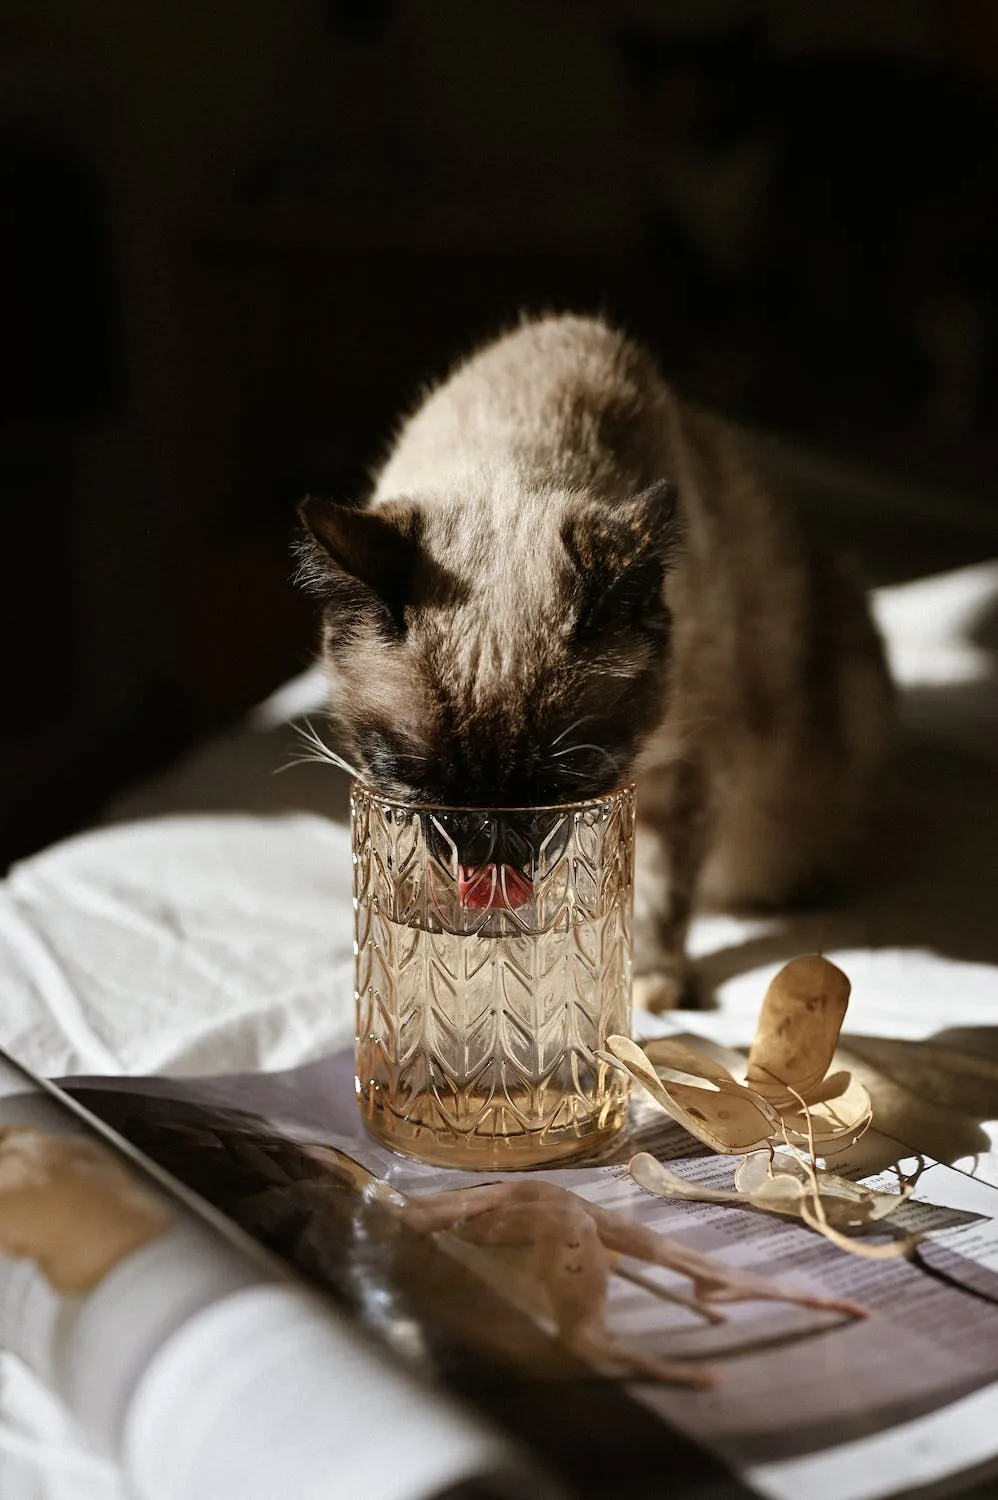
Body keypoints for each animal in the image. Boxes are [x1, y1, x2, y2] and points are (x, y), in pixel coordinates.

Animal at [292, 315, 888, 1008]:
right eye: (416, 783)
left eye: (558, 790)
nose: (485, 861)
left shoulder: (686, 768)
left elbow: (657, 892)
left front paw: (653, 986)